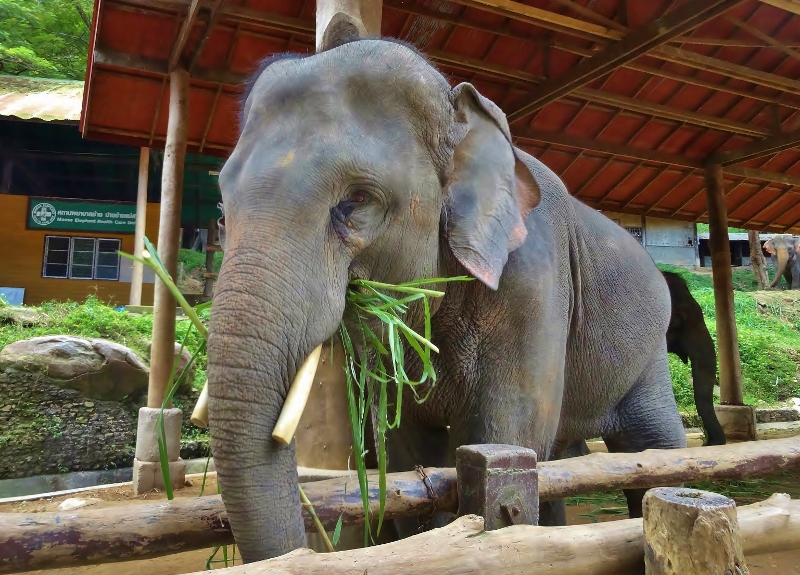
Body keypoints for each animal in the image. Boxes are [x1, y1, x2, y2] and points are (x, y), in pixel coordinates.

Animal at [206, 37, 686, 563]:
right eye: (221, 209)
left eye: (357, 199)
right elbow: (408, 451)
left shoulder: (534, 281)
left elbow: (504, 438)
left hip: (650, 354)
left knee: (654, 446)